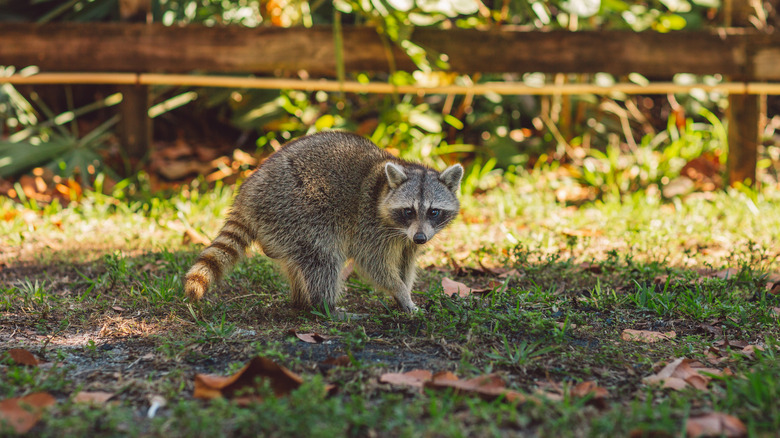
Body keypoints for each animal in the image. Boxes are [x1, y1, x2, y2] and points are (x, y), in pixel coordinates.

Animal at [183, 132, 464, 314]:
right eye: (408, 210)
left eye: (434, 212)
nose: (421, 238)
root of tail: (248, 193)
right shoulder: (370, 225)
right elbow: (373, 263)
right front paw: (401, 292)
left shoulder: (409, 238)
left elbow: (405, 263)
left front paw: (404, 293)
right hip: (295, 209)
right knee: (323, 258)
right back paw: (326, 306)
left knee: (301, 261)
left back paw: (301, 301)